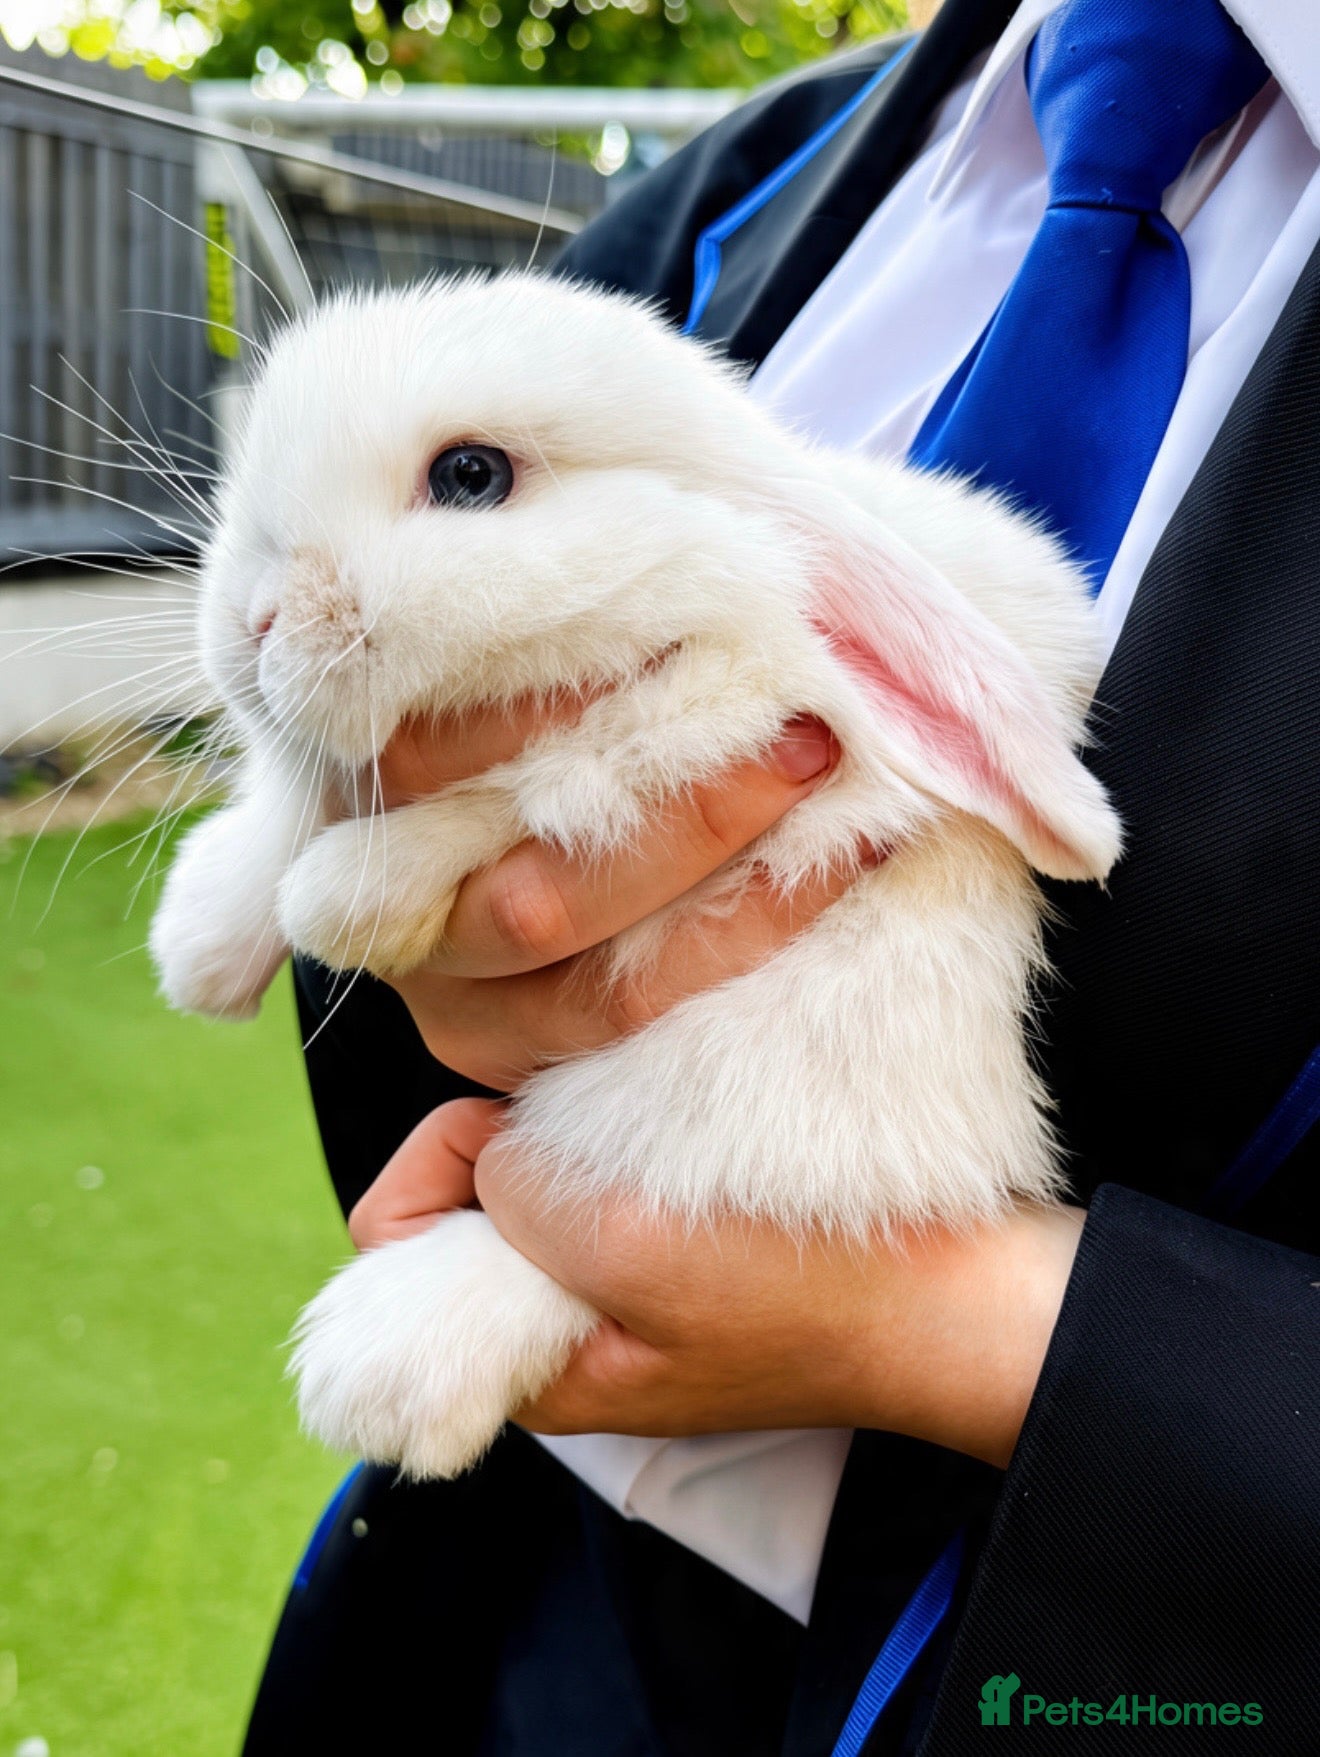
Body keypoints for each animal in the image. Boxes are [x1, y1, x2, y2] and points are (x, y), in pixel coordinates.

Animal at [149, 272, 1121, 1480]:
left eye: (472, 475)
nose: (252, 623)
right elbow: (307, 798)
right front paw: (204, 936)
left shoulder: (714, 732)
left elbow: (531, 788)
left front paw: (348, 897)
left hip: (822, 1043)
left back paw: (392, 1353)